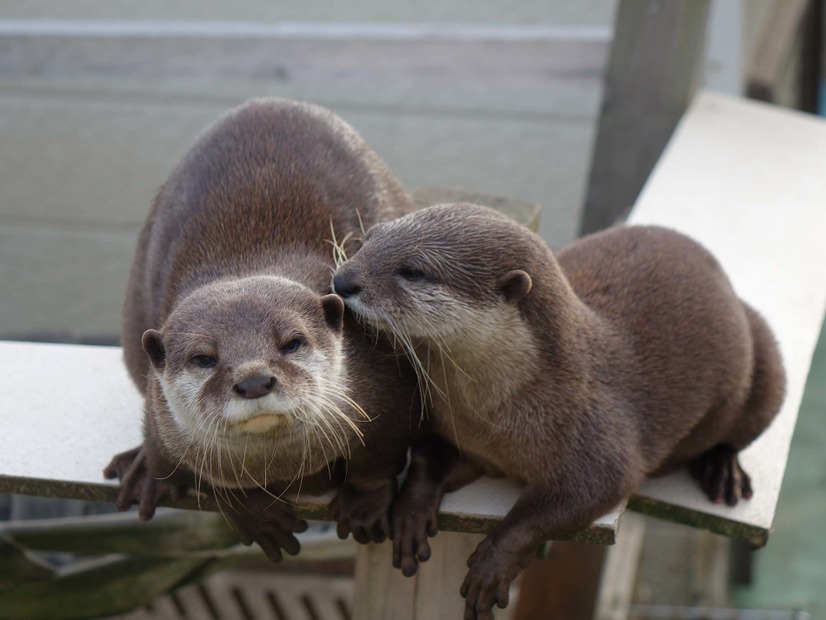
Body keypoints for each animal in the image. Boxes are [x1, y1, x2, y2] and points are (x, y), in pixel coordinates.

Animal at [332, 203, 784, 620]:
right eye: (368, 238)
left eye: (414, 271)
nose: (342, 280)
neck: (496, 416)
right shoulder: (452, 427)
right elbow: (428, 459)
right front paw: (411, 512)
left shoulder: (597, 437)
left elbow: (568, 500)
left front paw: (493, 563)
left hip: (766, 362)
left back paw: (723, 471)